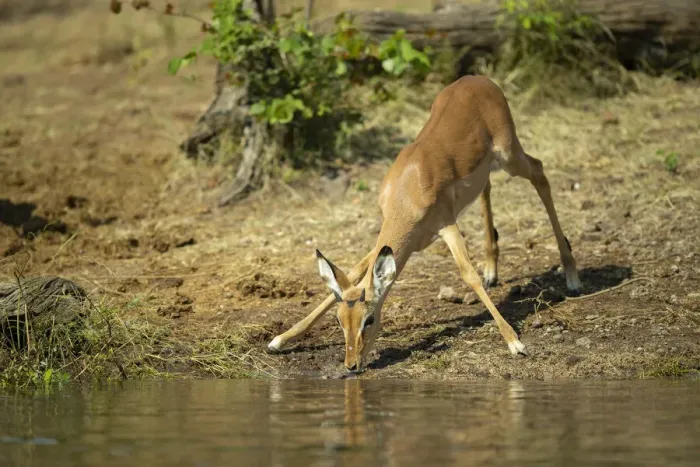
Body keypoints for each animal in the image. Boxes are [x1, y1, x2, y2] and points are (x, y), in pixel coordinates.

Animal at [268, 75, 582, 371]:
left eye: (369, 318)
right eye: (339, 319)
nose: (352, 365)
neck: (407, 191)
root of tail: (478, 79)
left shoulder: (447, 225)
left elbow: (467, 274)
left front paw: (514, 342)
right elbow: (356, 270)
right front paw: (279, 340)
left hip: (509, 156)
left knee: (539, 171)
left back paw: (572, 277)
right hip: (488, 167)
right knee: (489, 187)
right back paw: (493, 270)